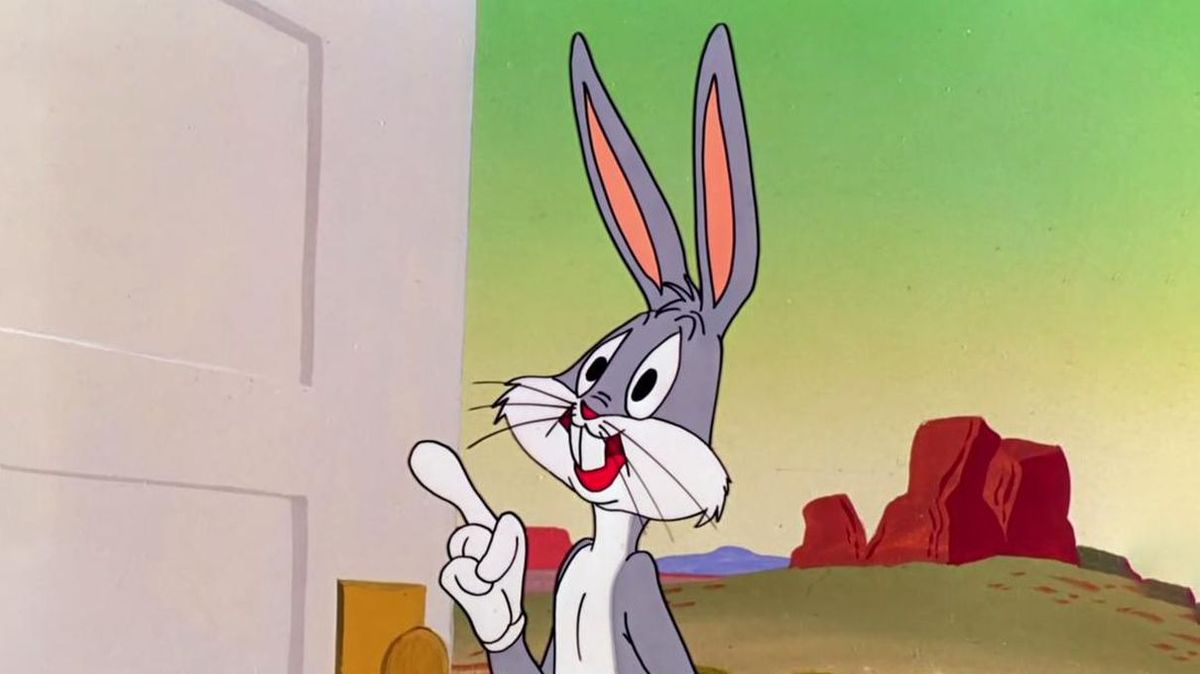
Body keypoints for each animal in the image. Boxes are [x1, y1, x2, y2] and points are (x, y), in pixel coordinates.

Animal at [409, 23, 759, 674]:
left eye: (647, 385)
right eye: (596, 365)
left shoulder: (639, 588)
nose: (589, 407)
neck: (605, 553)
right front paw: (490, 589)